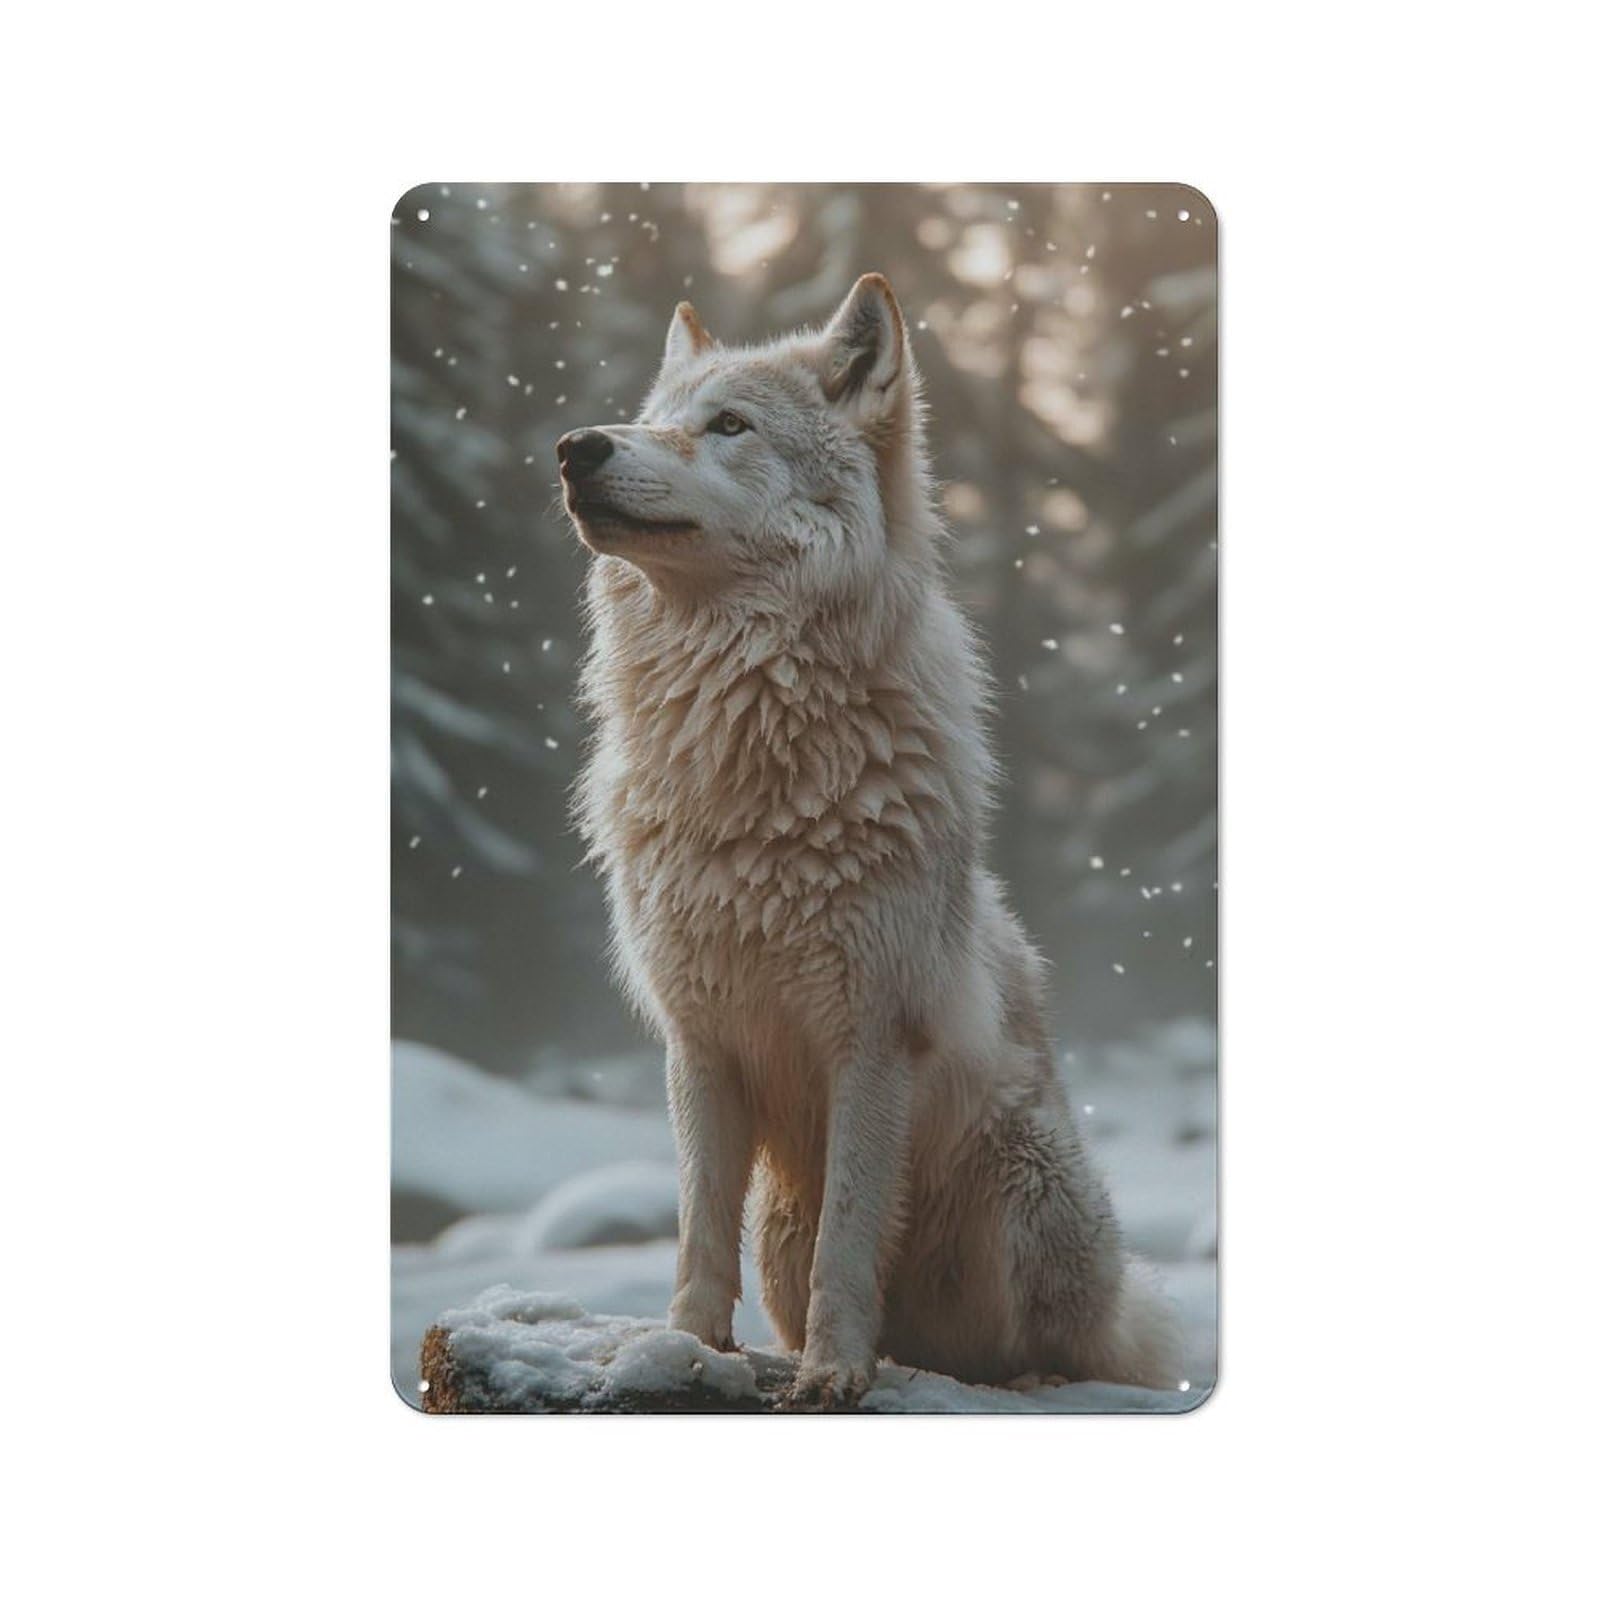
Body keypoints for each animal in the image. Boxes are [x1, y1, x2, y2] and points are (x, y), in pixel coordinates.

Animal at [559, 274, 1181, 1405]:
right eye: (653, 416)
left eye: (728, 426)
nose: (577, 446)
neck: (749, 758)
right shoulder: (697, 1040)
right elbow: (695, 1230)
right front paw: (682, 1353)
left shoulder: (873, 1036)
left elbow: (851, 1238)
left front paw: (832, 1373)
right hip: (781, 1225)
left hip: (1029, 1185)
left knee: (1048, 1351)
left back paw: (1011, 1373)